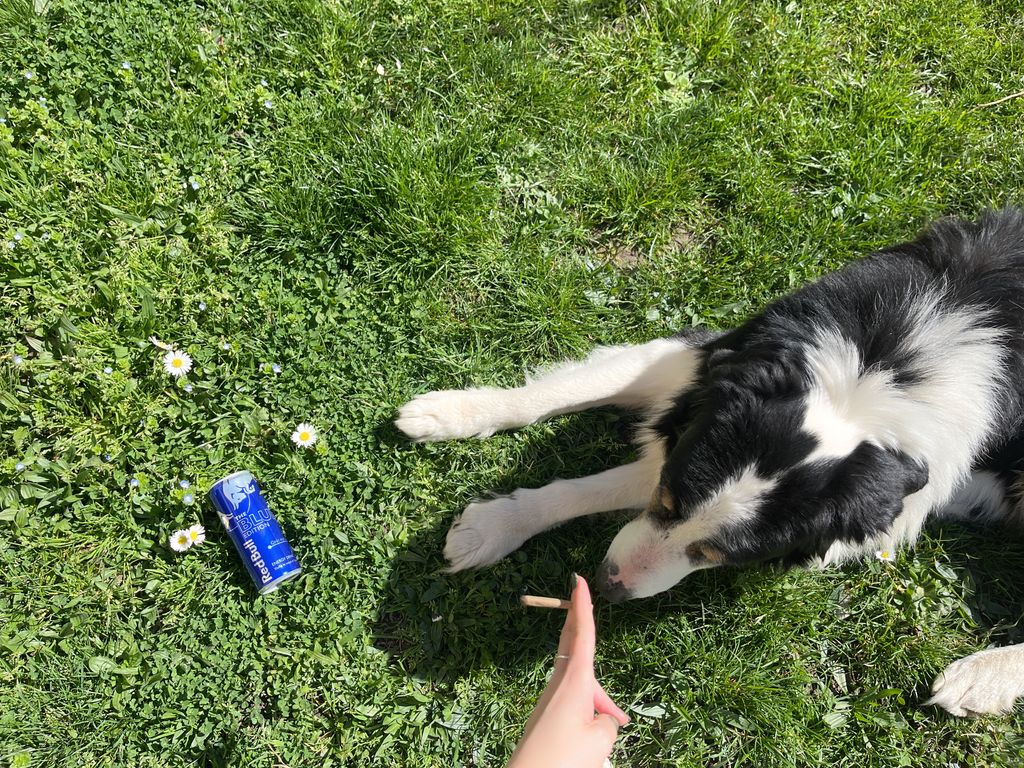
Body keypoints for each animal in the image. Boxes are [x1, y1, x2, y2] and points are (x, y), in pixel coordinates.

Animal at [396, 207, 1024, 717]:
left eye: (716, 555)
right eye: (669, 503)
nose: (606, 587)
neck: (878, 376)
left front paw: (494, 522)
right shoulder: (703, 366)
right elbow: (557, 409)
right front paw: (456, 427)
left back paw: (978, 680)